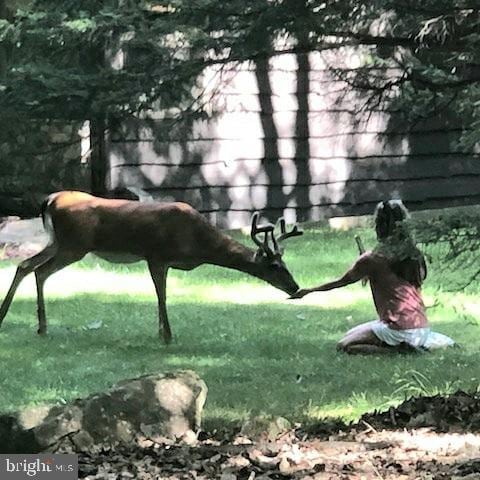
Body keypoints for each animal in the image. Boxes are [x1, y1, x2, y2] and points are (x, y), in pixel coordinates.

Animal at [0, 189, 302, 344]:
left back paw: (31, 323)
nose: (296, 288)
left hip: (58, 242)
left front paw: (159, 331)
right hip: (73, 245)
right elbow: (162, 295)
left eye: (286, 262)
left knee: (25, 265)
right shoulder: (156, 255)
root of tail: (50, 200)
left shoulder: (159, 260)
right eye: (275, 266)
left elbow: (160, 296)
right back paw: (34, 324)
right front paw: (167, 335)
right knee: (39, 270)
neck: (199, 244)